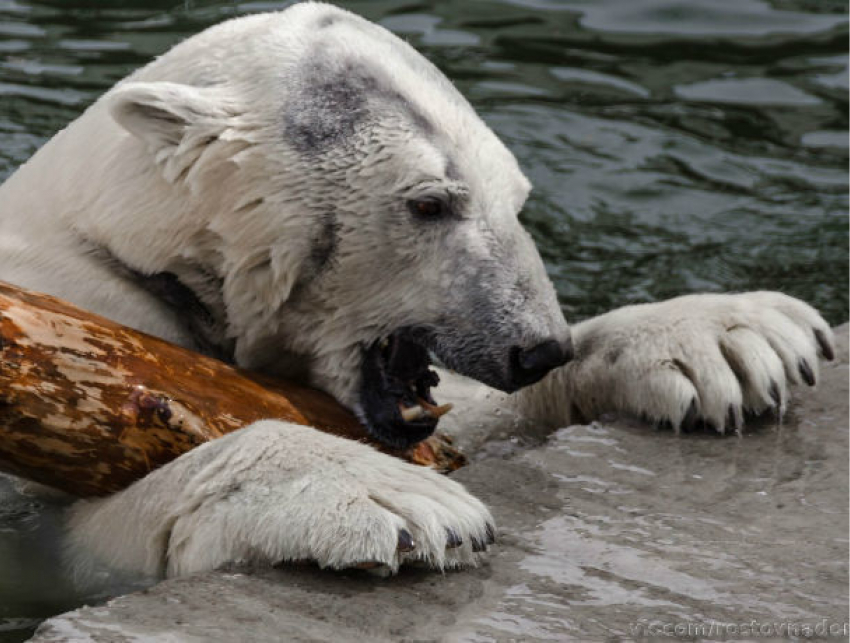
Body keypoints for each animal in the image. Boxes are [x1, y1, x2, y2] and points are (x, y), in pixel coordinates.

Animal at [0, 3, 836, 580]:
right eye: (430, 202)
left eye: (518, 198)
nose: (539, 346)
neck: (132, 247)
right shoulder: (83, 328)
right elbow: (63, 535)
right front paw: (396, 500)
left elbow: (466, 424)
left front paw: (733, 336)